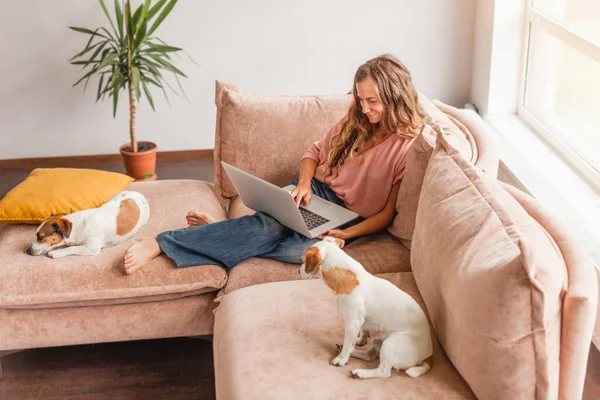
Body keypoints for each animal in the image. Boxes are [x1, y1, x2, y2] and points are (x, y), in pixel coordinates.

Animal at [300, 238, 432, 378]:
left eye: (302, 261)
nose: (298, 271)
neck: (348, 275)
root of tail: (429, 356)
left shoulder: (352, 322)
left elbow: (348, 343)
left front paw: (342, 359)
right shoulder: (360, 322)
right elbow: (361, 333)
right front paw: (359, 341)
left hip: (390, 344)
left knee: (384, 371)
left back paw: (361, 373)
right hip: (379, 341)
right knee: (370, 355)